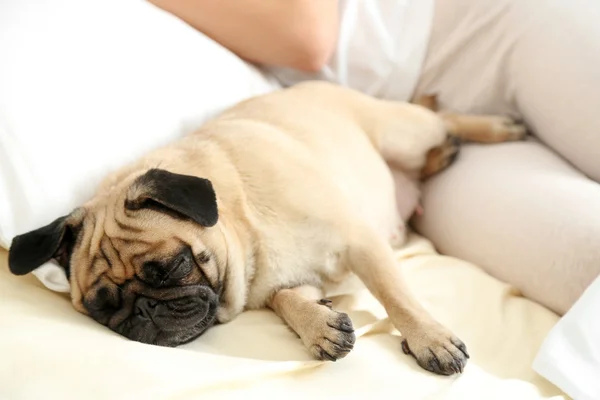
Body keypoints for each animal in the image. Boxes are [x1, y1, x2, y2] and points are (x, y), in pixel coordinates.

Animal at [8, 80, 524, 376]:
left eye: (173, 267)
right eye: (101, 310)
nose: (145, 311)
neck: (246, 230)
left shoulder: (360, 241)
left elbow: (397, 296)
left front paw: (429, 339)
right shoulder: (288, 281)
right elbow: (289, 300)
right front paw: (320, 325)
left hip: (402, 133)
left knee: (438, 118)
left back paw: (495, 127)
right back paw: (447, 155)